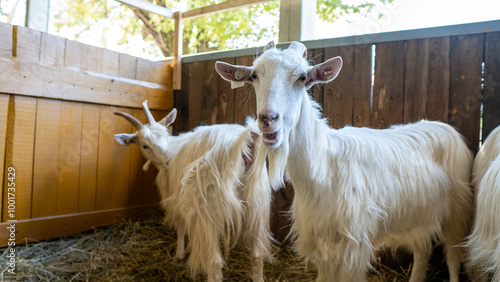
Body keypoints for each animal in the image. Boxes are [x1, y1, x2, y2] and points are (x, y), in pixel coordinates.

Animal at [114, 101, 274, 282]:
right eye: (145, 145)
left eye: (165, 134)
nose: (168, 160)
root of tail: (242, 142)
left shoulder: (175, 199)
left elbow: (180, 227)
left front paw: (179, 255)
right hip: (256, 205)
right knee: (257, 255)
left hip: (208, 209)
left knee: (214, 262)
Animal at [215, 41, 472, 282]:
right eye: (254, 75)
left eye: (302, 77)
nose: (268, 119)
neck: (324, 168)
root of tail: (443, 126)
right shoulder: (320, 240)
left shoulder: (353, 246)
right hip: (419, 214)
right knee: (423, 249)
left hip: (457, 209)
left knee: (453, 256)